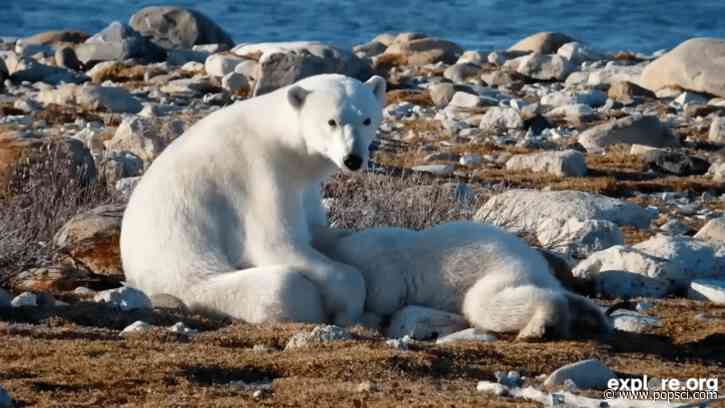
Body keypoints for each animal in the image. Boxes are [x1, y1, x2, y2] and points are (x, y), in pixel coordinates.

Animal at [120, 74, 386, 326]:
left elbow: (315, 228)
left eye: (366, 120)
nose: (353, 159)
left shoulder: (304, 186)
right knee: (284, 286)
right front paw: (348, 309)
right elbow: (276, 244)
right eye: (332, 121)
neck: (281, 138)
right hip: (190, 278)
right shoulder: (261, 173)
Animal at [326, 222, 611, 340]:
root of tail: (536, 264)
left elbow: (381, 301)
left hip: (501, 271)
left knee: (483, 304)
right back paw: (588, 317)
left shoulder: (380, 270)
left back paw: (537, 328)